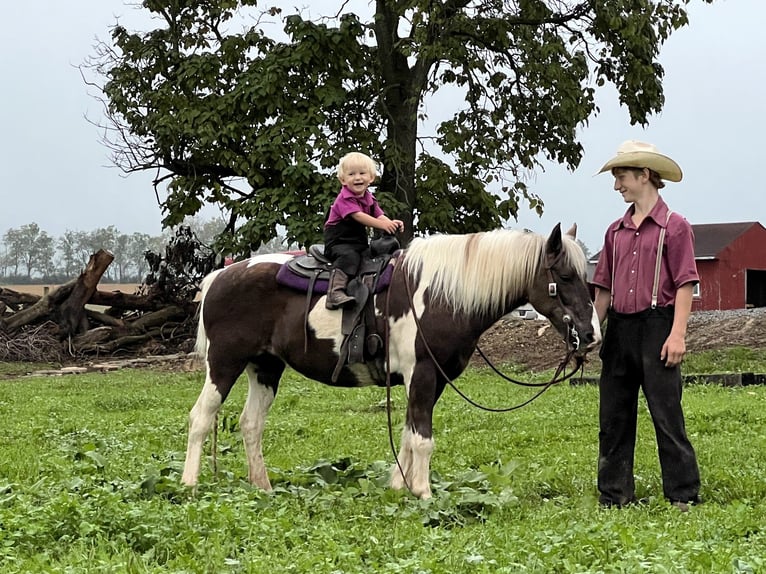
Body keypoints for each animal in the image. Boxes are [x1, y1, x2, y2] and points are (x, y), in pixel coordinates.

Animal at [183, 225, 604, 500]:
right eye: (565, 276)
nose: (591, 334)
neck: (442, 294)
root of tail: (220, 275)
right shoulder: (424, 374)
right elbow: (423, 439)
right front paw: (423, 492)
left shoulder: (431, 381)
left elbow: (407, 433)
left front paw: (400, 487)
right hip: (224, 363)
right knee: (202, 417)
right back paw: (189, 484)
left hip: (265, 367)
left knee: (250, 424)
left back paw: (263, 487)